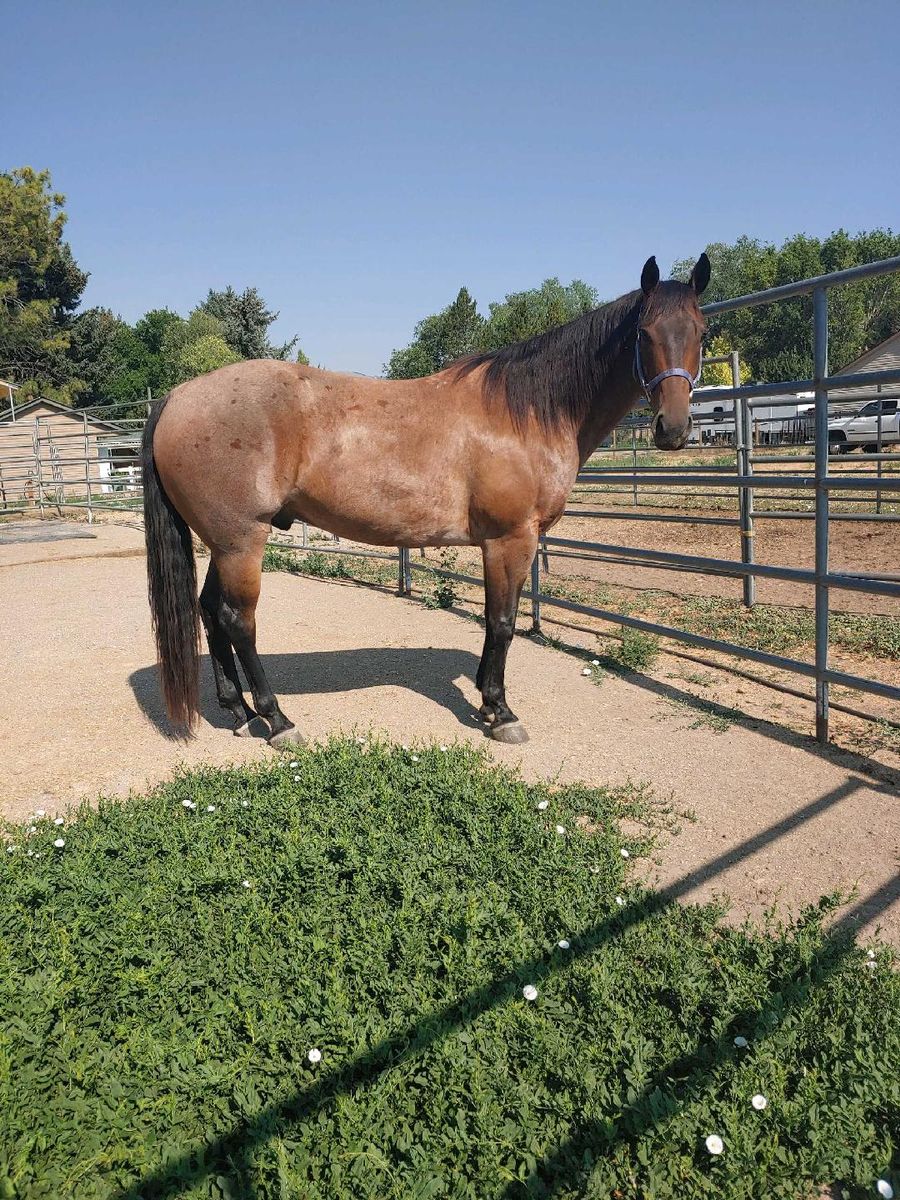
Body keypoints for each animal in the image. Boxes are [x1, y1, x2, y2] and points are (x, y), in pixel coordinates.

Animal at [141, 253, 709, 747]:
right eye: (643, 333)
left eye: (700, 332)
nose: (674, 429)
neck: (524, 413)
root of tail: (177, 396)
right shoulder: (511, 540)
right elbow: (502, 622)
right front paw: (501, 712)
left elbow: (494, 620)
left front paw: (487, 698)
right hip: (242, 542)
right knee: (238, 620)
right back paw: (277, 720)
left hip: (224, 543)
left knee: (210, 612)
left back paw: (239, 713)